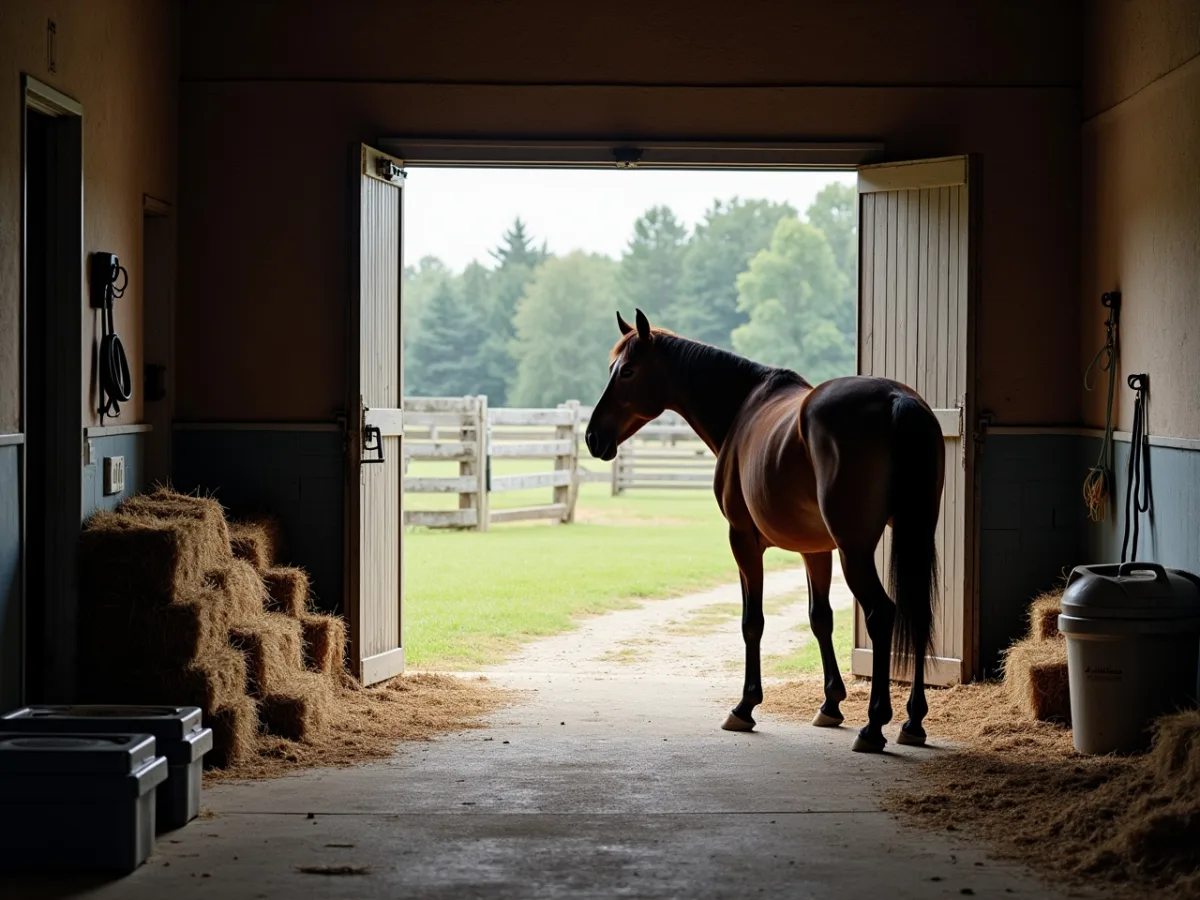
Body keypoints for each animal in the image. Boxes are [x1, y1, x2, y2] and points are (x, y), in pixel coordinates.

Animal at [584, 309, 945, 753]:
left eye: (628, 371)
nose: (592, 437)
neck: (743, 407)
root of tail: (896, 399)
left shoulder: (743, 540)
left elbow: (751, 622)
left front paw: (745, 706)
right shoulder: (815, 549)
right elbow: (820, 618)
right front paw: (831, 704)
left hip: (855, 549)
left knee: (883, 613)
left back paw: (874, 726)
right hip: (915, 531)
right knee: (919, 612)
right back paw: (913, 722)